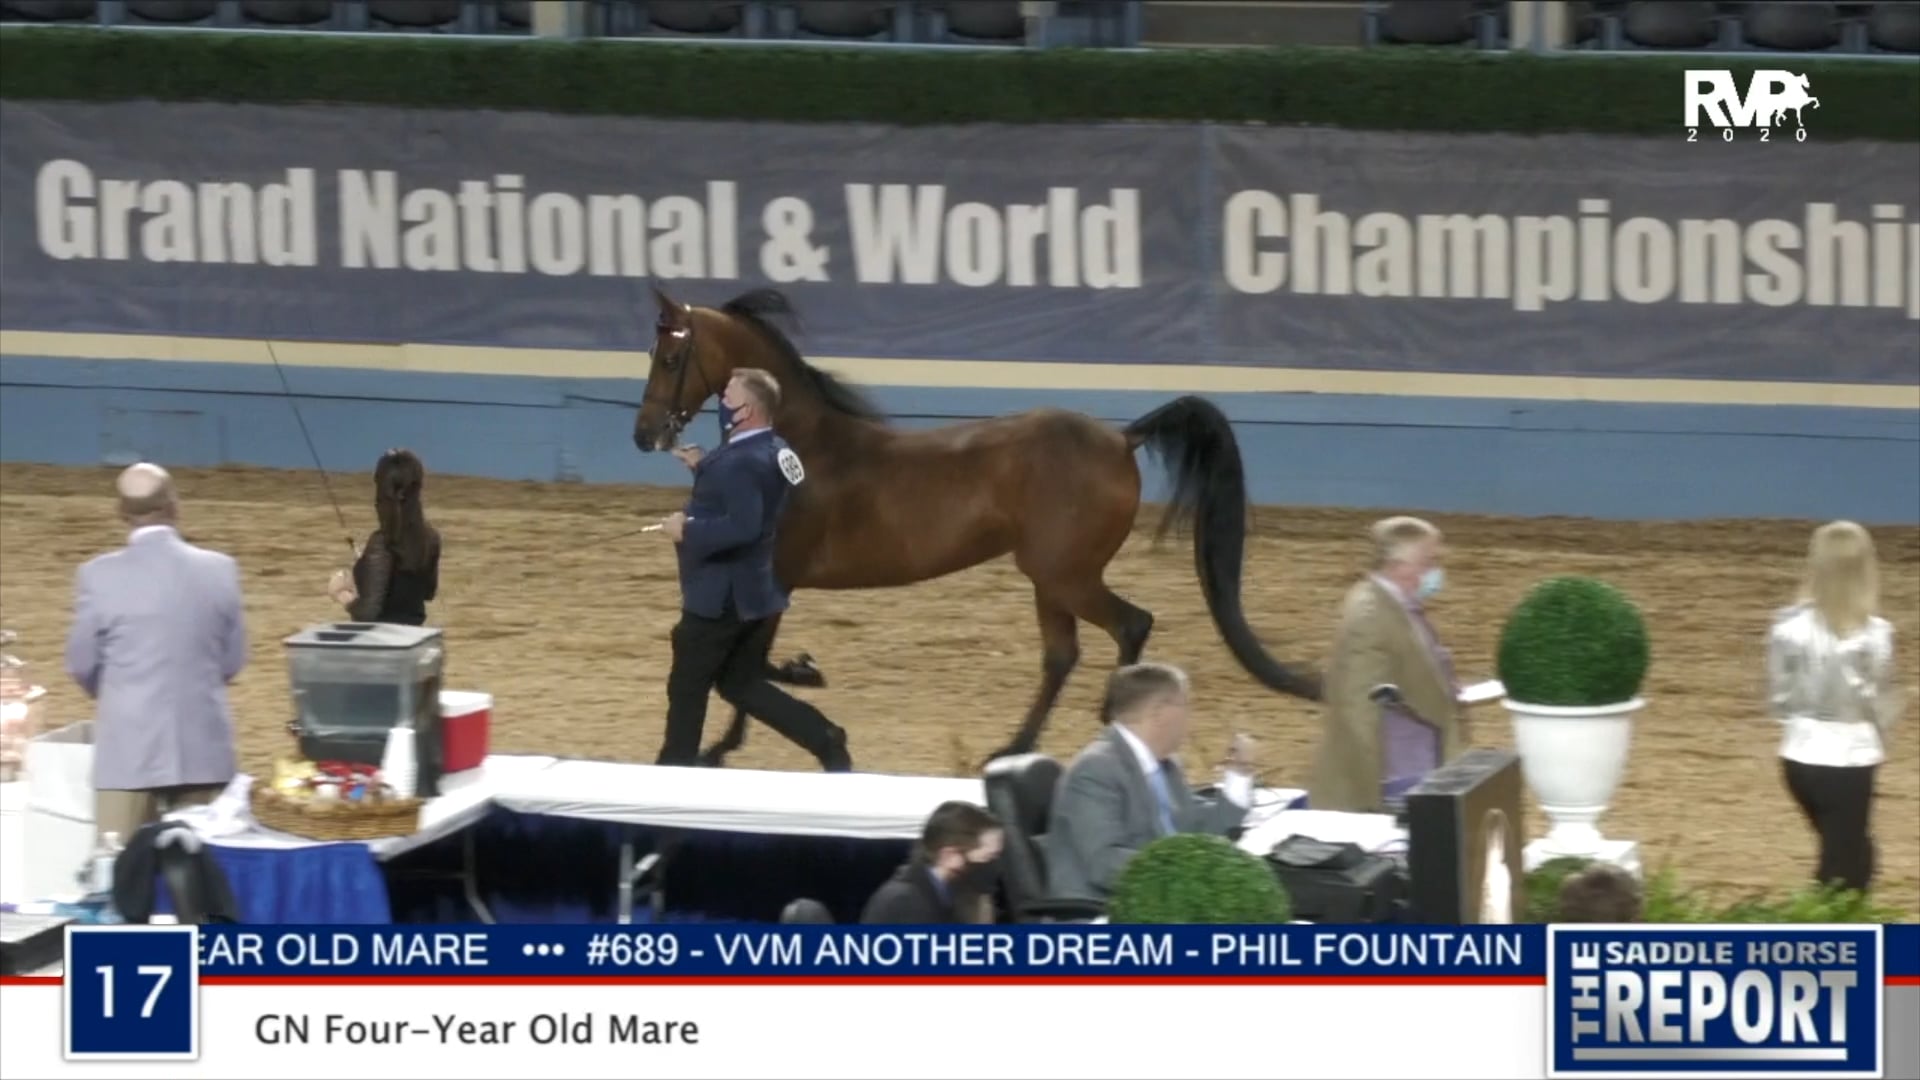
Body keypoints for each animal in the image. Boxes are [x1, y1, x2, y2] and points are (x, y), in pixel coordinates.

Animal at [632, 285, 1324, 768]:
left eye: (671, 356)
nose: (645, 434)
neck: (805, 447)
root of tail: (1120, 437)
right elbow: (751, 670)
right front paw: (797, 677)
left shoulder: (776, 576)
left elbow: (745, 672)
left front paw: (725, 742)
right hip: (1051, 580)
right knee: (1063, 655)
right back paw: (1014, 746)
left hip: (1063, 575)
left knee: (1131, 626)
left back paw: (1106, 724)